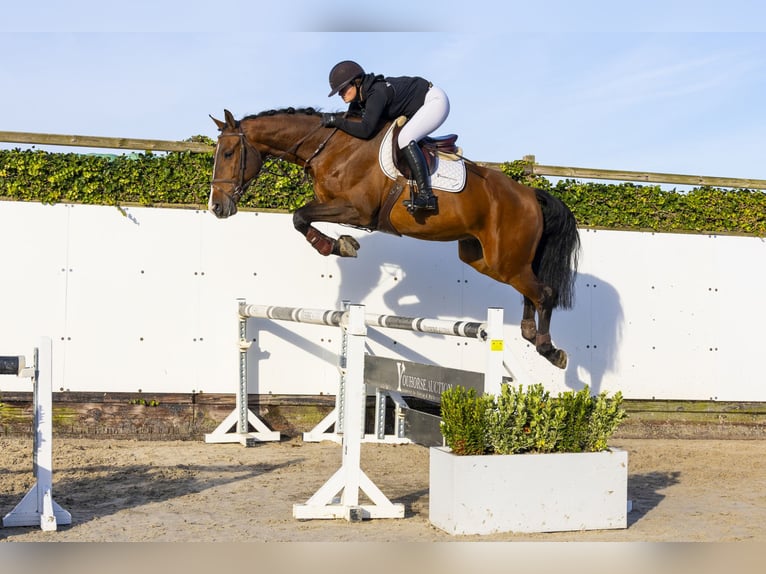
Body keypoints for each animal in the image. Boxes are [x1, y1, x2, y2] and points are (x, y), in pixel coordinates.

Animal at [207, 108, 580, 368]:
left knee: (544, 292)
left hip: (504, 259)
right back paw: (530, 333)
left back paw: (549, 349)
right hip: (483, 258)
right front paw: (340, 245)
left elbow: (300, 215)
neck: (332, 148)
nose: (217, 207)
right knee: (530, 290)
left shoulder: (357, 210)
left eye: (227, 154)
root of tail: (530, 193)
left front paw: (340, 245)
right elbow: (301, 218)